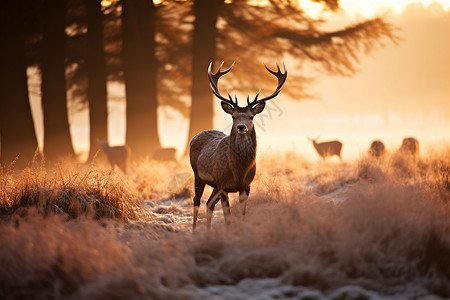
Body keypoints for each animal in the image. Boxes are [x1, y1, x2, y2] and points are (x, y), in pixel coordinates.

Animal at [188, 60, 286, 230]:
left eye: (251, 116)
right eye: (233, 117)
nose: (241, 127)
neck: (239, 171)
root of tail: (195, 136)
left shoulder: (246, 186)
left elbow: (242, 215)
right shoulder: (223, 185)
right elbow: (228, 218)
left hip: (214, 184)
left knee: (209, 204)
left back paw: (207, 232)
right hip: (197, 174)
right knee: (197, 201)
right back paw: (194, 232)